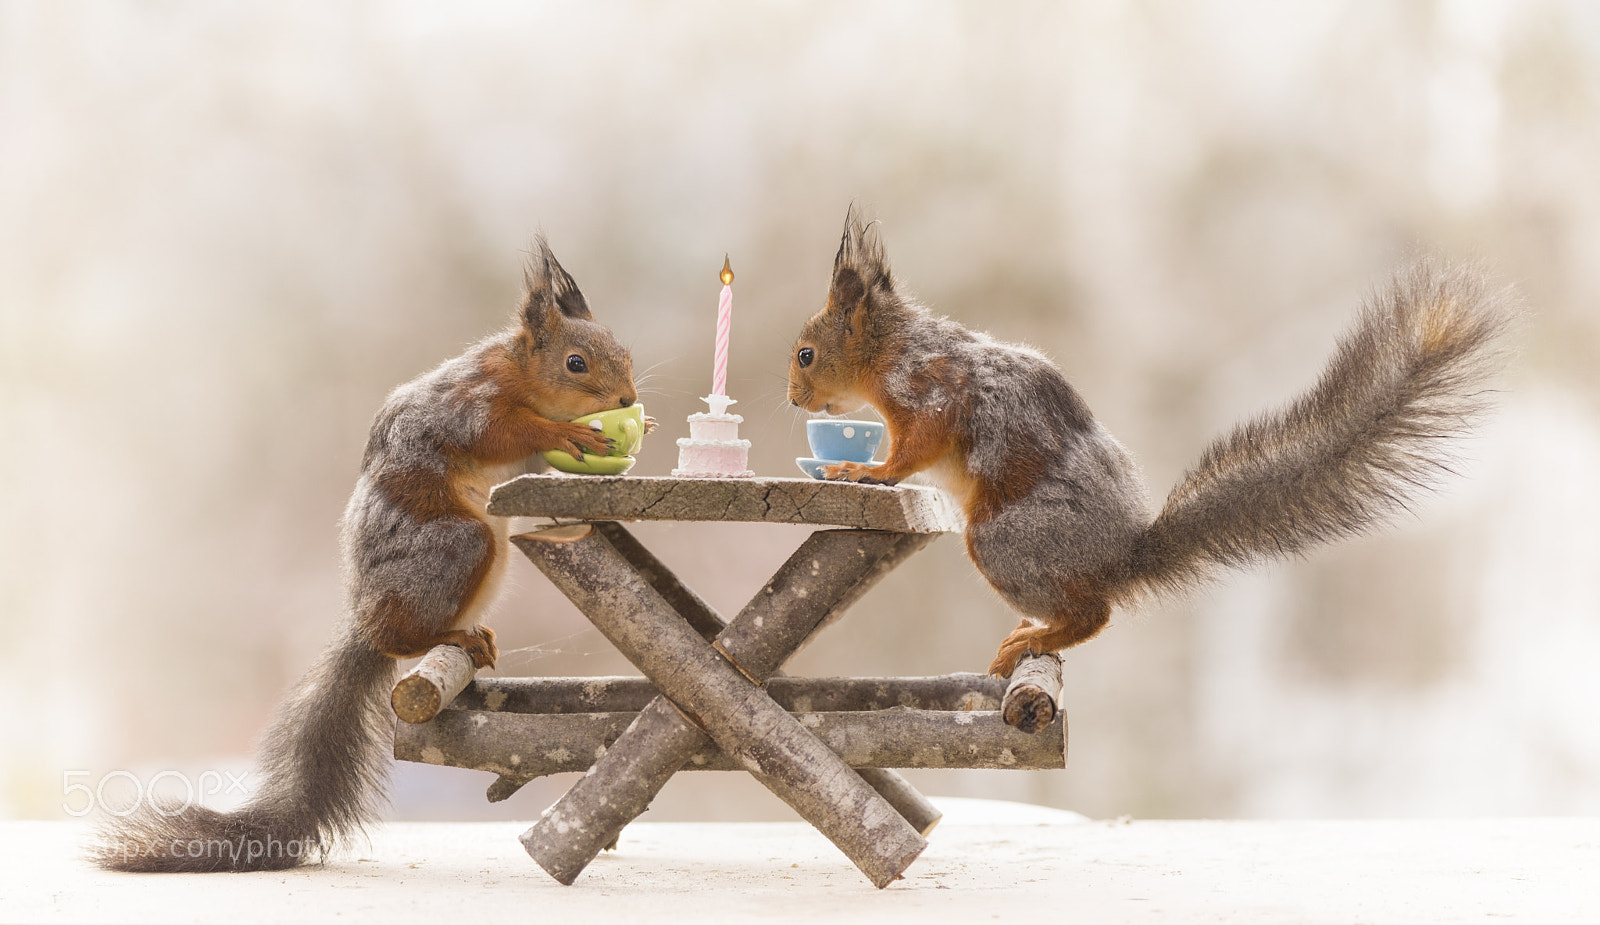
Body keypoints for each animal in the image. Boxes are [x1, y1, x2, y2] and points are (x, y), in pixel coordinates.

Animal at [95, 238, 641, 872]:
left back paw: (475, 636)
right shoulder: (471, 406)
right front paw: (566, 434)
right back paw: (441, 637)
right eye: (576, 363)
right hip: (458, 546)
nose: (629, 399)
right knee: (399, 638)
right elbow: (504, 434)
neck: (520, 373)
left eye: (623, 349)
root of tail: (365, 616)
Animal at [788, 210, 1515, 715]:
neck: (893, 347)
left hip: (1002, 543)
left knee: (1095, 615)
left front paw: (870, 472)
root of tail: (1122, 557)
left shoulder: (932, 393)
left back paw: (1037, 636)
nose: (792, 398)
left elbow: (913, 448)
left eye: (805, 354)